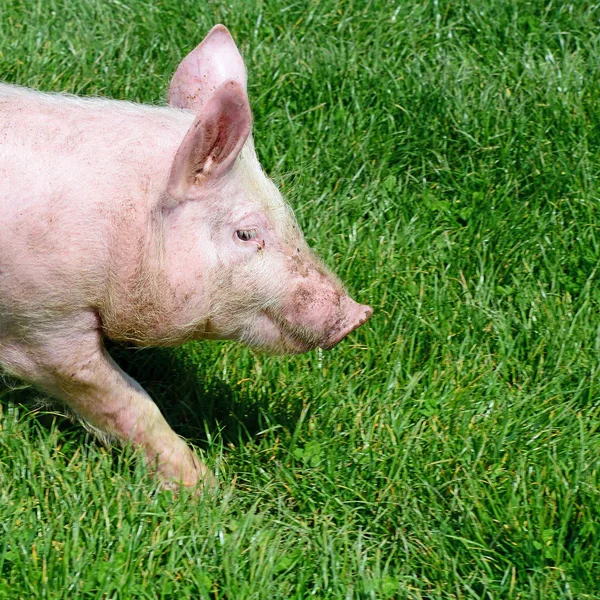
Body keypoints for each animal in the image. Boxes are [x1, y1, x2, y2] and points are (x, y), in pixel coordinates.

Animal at [0, 25, 370, 490]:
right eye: (246, 233)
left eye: (287, 212)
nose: (358, 314)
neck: (124, 224)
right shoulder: (41, 325)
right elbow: (129, 403)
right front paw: (209, 492)